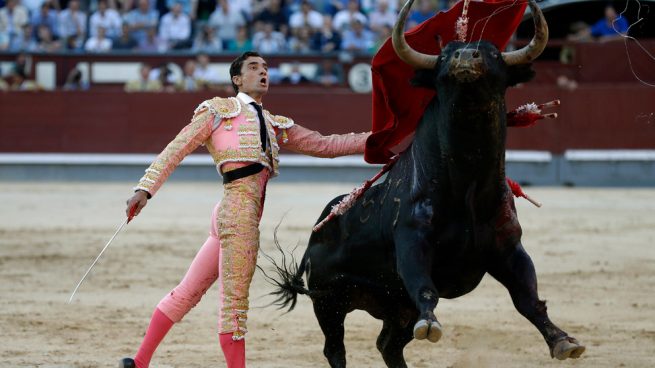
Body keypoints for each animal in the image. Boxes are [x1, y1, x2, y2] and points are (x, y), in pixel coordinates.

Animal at [264, 0, 588, 366]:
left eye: (492, 52)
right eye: (445, 55)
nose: (466, 57)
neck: (467, 184)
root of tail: (318, 229)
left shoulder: (508, 248)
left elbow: (528, 297)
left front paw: (563, 340)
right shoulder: (412, 240)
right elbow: (424, 286)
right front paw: (431, 324)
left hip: (395, 307)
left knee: (388, 344)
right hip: (329, 301)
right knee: (335, 348)